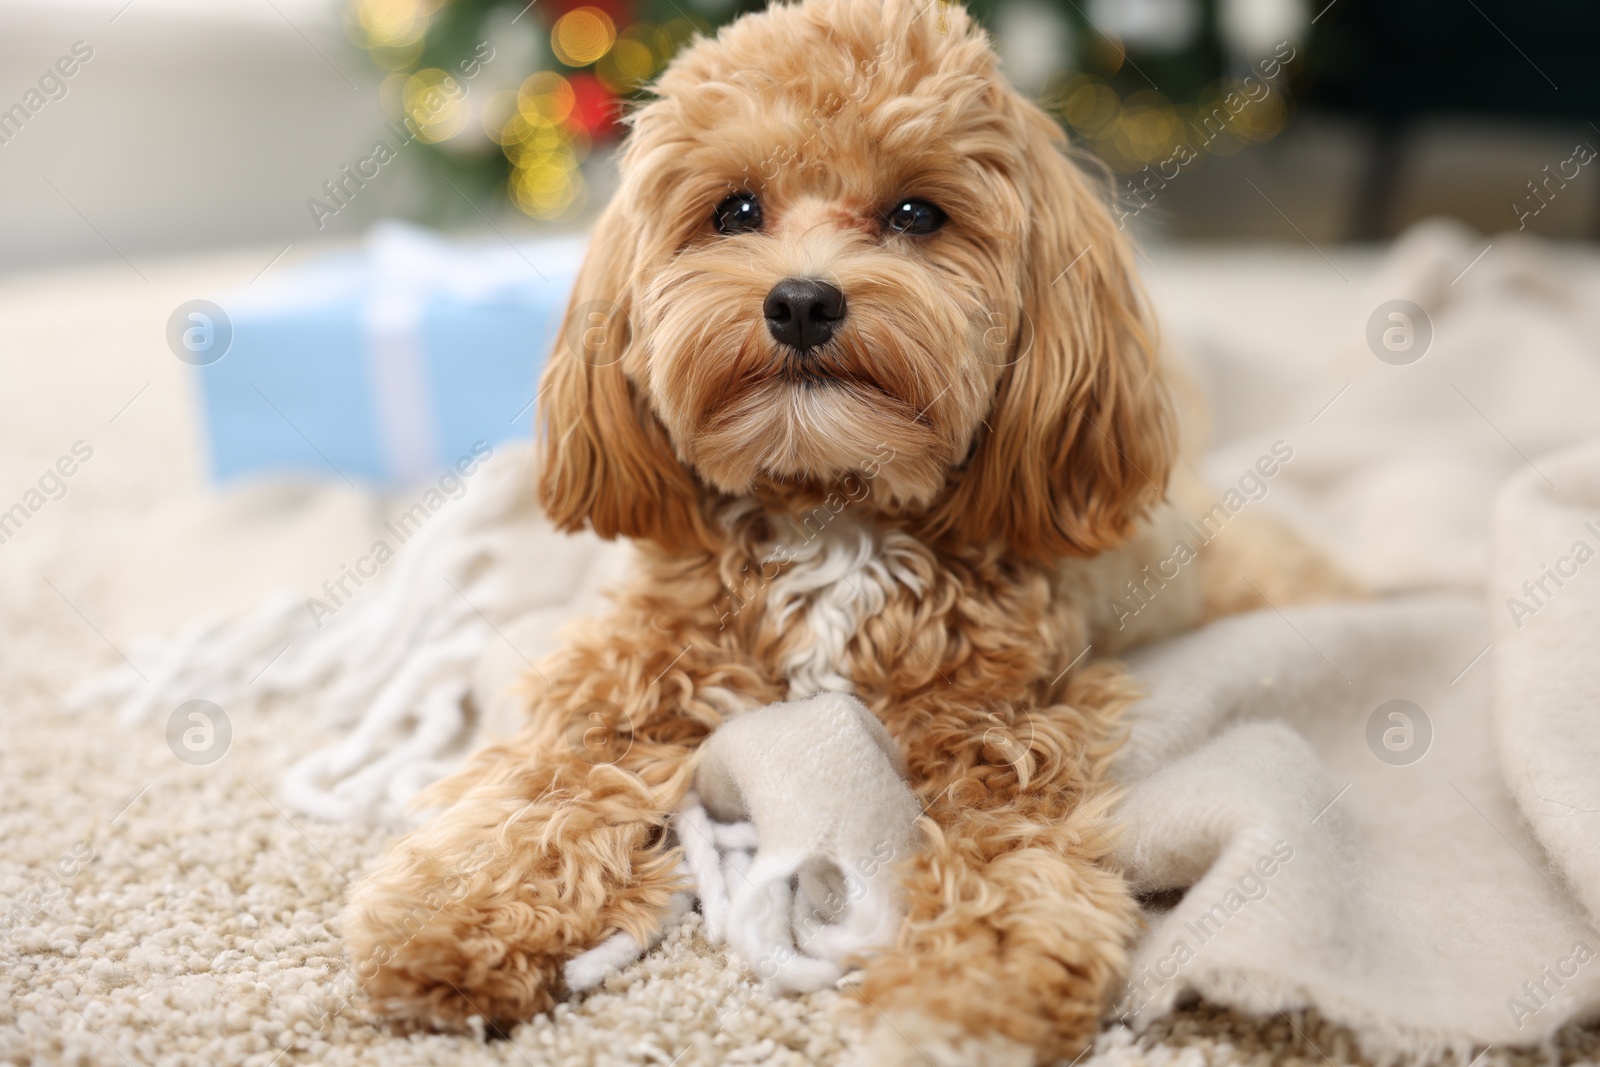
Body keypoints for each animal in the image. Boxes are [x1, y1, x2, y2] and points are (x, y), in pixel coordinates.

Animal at [340, 4, 1337, 1062]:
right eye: (736, 211)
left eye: (916, 215)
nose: (802, 300)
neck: (833, 511)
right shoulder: (630, 675)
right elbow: (545, 783)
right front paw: (458, 916)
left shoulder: (1004, 725)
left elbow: (1005, 856)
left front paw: (964, 995)